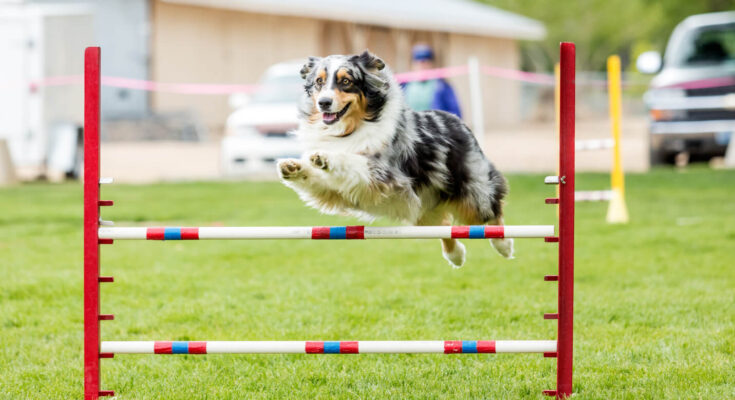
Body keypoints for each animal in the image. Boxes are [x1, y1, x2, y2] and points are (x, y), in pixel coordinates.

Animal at [276, 50, 512, 268]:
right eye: (319, 81)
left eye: (346, 81)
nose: (324, 103)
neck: (348, 129)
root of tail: (457, 120)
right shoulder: (335, 191)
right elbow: (317, 179)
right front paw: (293, 167)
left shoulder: (383, 174)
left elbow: (352, 160)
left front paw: (326, 157)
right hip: (423, 207)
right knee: (445, 225)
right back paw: (456, 256)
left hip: (472, 191)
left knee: (491, 211)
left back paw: (504, 244)